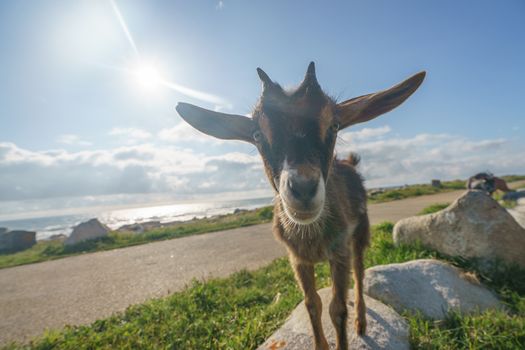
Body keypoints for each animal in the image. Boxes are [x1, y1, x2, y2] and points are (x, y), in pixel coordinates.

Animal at [178, 63, 424, 350]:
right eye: (257, 134)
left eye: (335, 125)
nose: (303, 188)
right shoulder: (297, 259)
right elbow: (312, 304)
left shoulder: (339, 251)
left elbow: (337, 308)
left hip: (360, 233)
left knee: (360, 273)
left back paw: (361, 322)